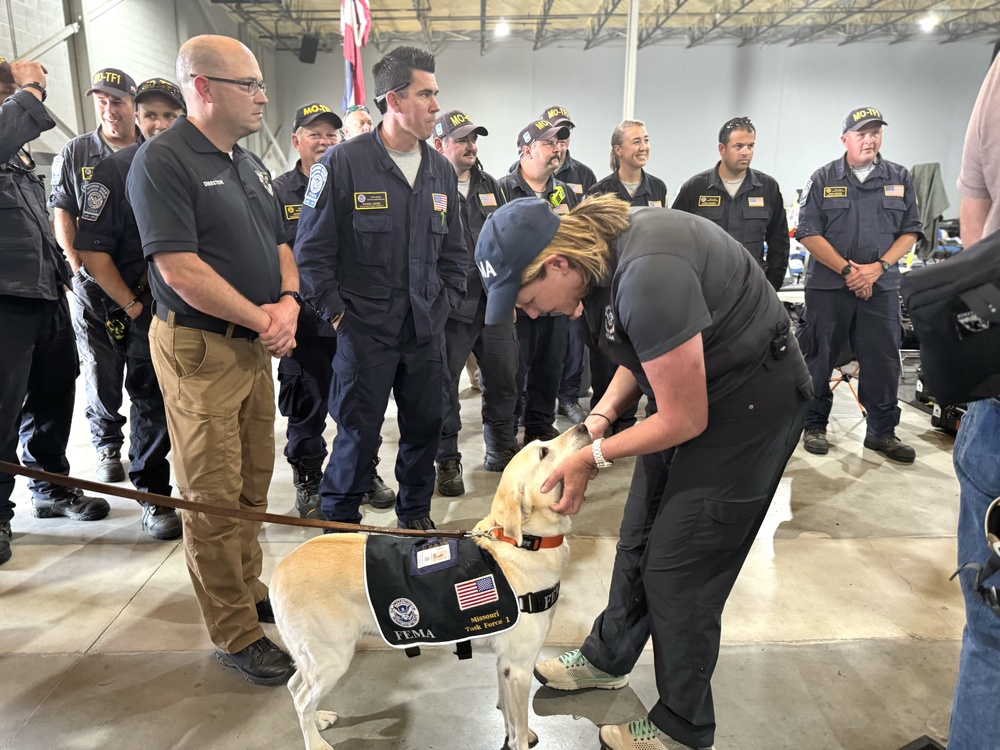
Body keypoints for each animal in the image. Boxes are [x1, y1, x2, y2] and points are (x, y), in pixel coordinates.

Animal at [270, 426, 588, 748]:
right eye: (544, 452)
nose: (585, 427)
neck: (522, 542)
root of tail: (280, 568)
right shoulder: (519, 668)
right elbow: (518, 726)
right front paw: (520, 738)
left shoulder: (505, 666)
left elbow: (507, 712)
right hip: (331, 658)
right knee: (302, 700)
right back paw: (315, 740)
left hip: (312, 658)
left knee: (295, 686)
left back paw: (318, 719)